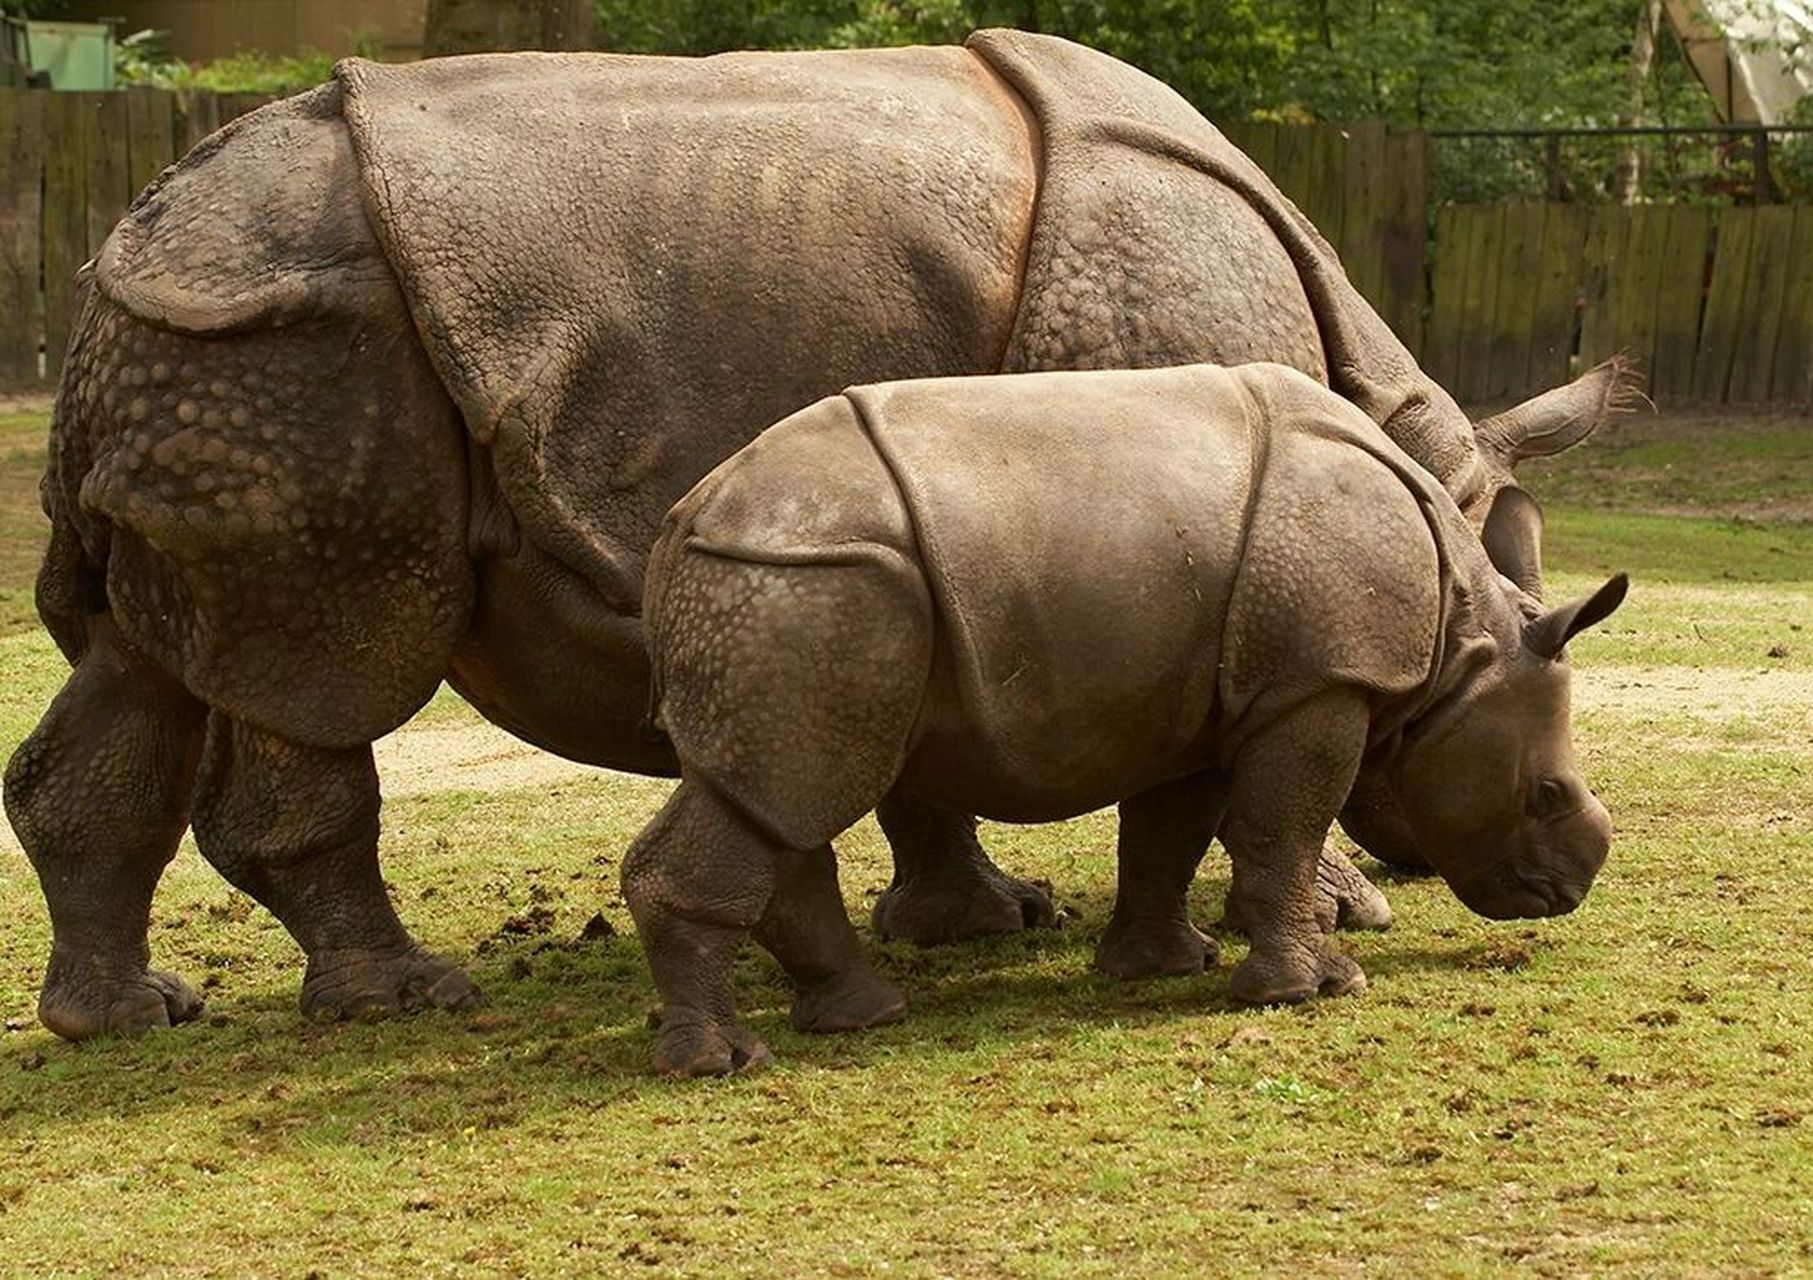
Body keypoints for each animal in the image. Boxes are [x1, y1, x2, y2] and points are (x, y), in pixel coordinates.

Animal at [627, 363, 1627, 1075]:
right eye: (1542, 793)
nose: (1567, 892)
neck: (1467, 643)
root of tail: (679, 525)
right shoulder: (1316, 685)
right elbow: (1283, 831)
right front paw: (1312, 990)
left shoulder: (1217, 697)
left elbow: (1167, 833)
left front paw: (1161, 967)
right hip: (804, 585)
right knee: (788, 793)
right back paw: (723, 1063)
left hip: (793, 594)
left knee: (776, 802)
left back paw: (861, 1016)